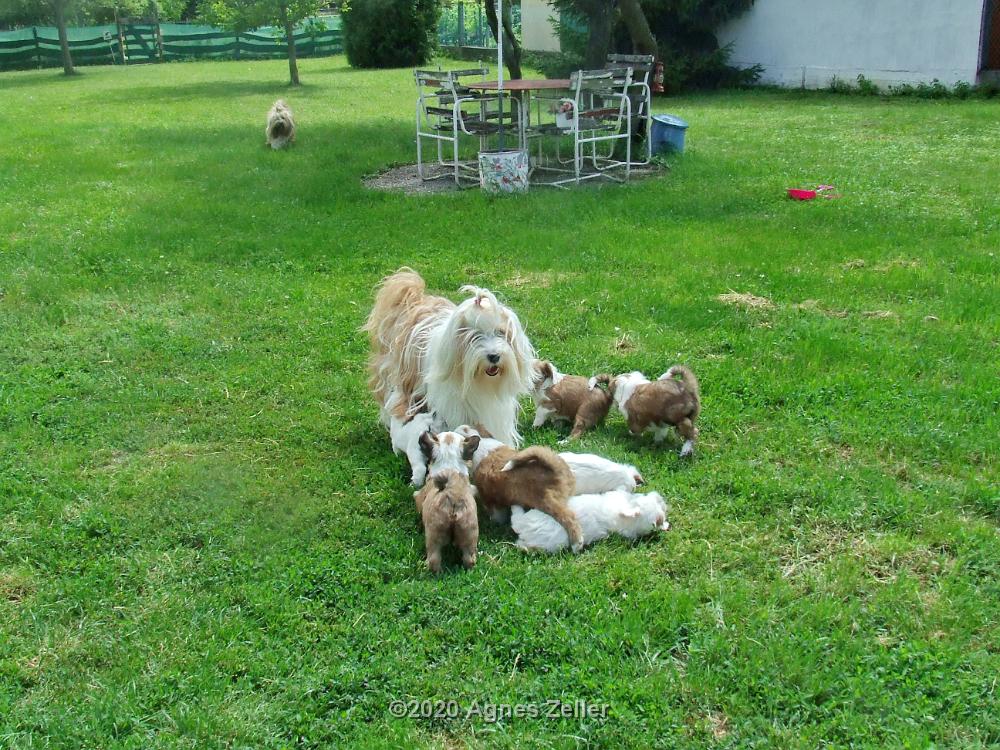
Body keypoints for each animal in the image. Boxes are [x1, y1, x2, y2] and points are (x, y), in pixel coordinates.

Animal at [456, 428, 584, 552]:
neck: (483, 447)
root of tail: (553, 468)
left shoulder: (490, 499)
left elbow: (495, 514)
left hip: (549, 503)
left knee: (569, 518)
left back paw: (577, 543)